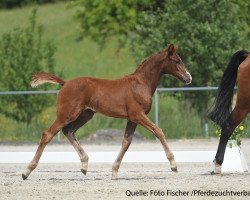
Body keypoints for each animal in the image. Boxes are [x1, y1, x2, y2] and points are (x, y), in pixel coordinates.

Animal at [22, 44, 192, 180]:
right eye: (177, 61)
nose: (188, 78)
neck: (141, 84)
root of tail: (65, 83)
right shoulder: (138, 115)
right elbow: (158, 131)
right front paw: (173, 165)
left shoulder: (132, 118)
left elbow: (126, 142)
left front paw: (114, 171)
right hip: (67, 114)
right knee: (48, 134)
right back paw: (26, 171)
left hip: (86, 114)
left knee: (68, 131)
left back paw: (84, 165)